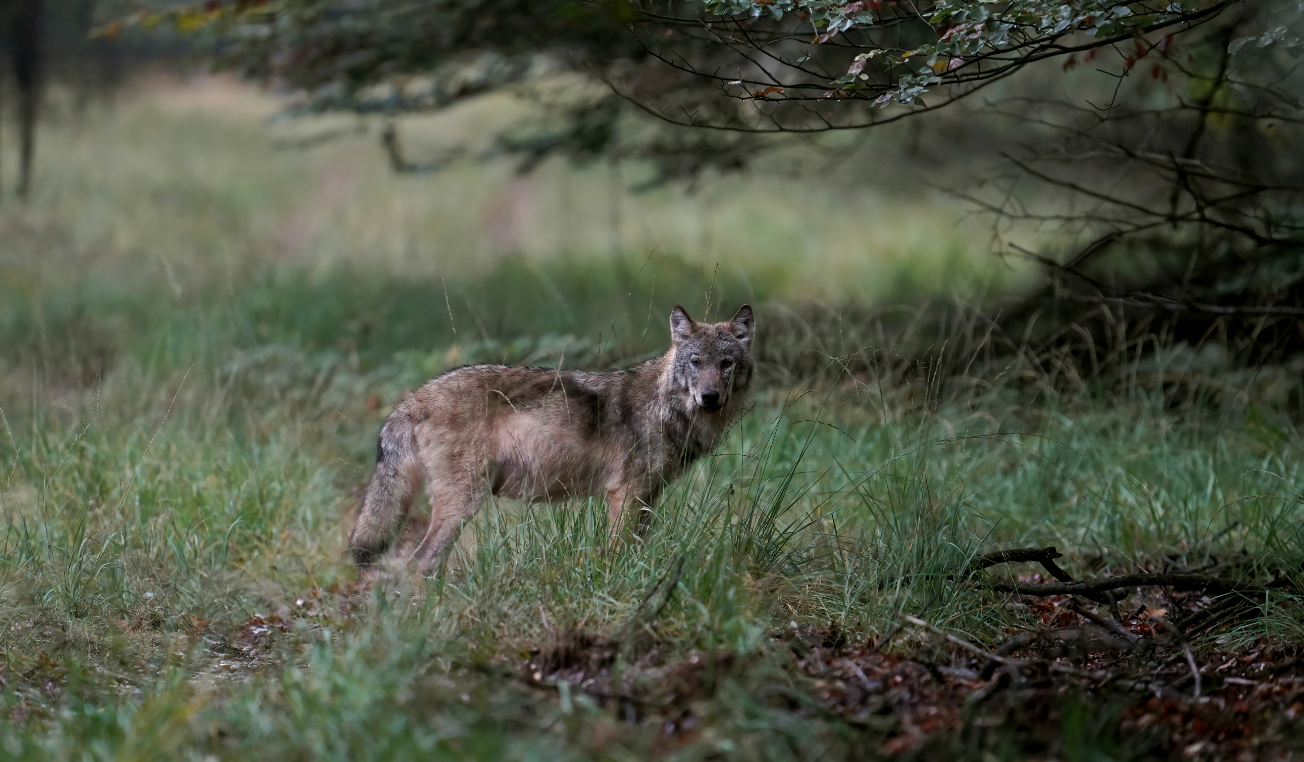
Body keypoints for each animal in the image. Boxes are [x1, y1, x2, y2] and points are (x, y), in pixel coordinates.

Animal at [348, 304, 755, 573]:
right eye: (696, 362)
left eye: (726, 364)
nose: (710, 397)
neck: (664, 407)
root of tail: (414, 397)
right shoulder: (624, 494)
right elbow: (617, 553)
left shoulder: (648, 497)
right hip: (463, 505)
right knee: (419, 564)